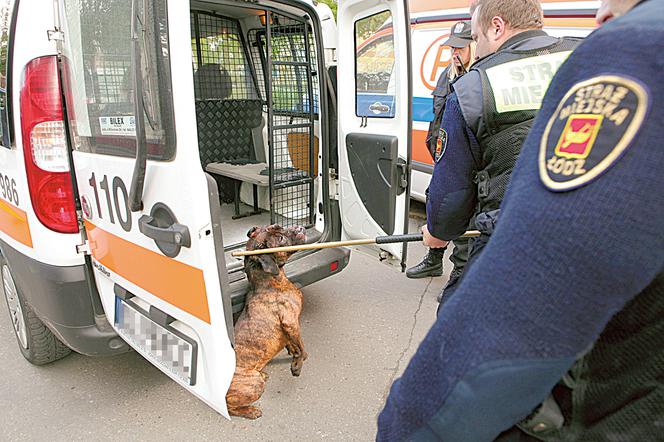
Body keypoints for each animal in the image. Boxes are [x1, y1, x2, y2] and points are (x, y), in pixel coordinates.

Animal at [223, 223, 306, 420]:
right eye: (281, 239)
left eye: (278, 226)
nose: (299, 226)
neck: (270, 282)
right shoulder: (291, 322)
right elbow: (302, 347)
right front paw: (298, 364)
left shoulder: (289, 329)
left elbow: (293, 344)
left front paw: (293, 353)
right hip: (254, 385)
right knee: (231, 408)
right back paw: (251, 411)